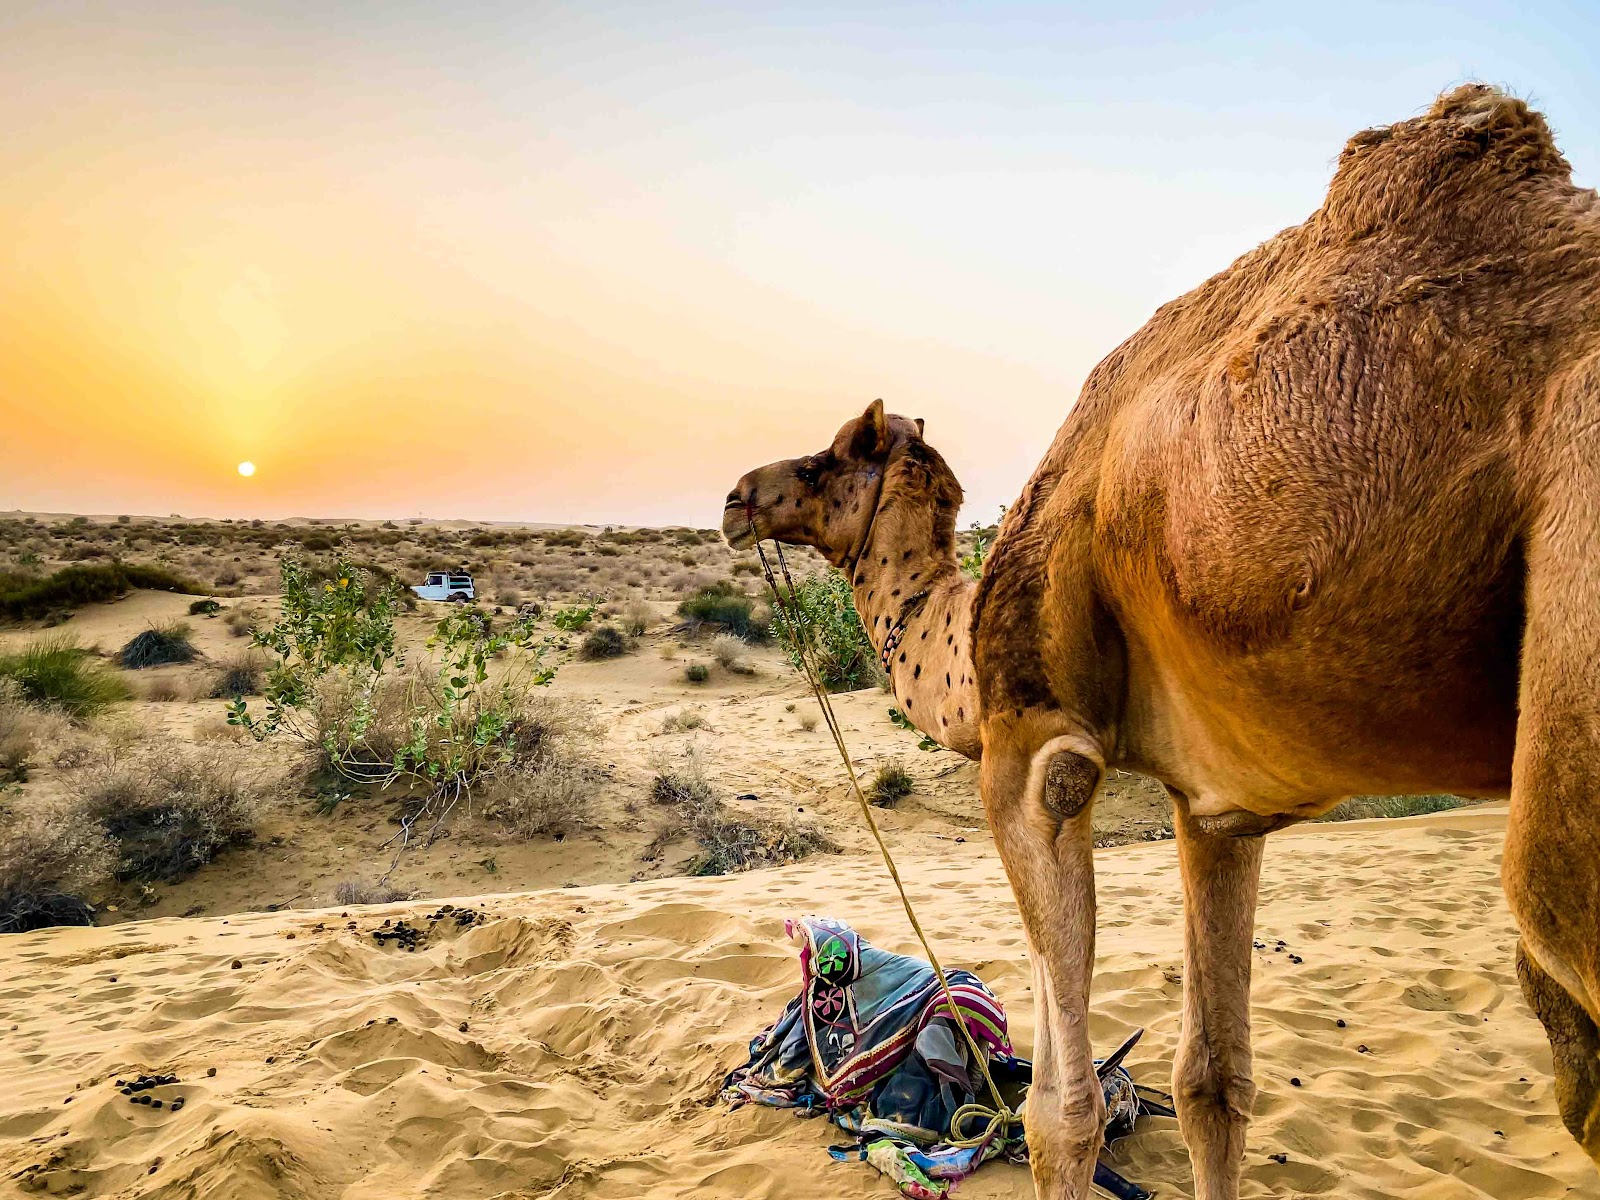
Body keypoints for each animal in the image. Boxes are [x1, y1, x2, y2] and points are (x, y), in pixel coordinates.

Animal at [723, 86, 1600, 1200]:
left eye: (828, 457)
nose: (736, 497)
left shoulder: (1034, 749)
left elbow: (1061, 1113)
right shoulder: (1219, 808)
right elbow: (1212, 1083)